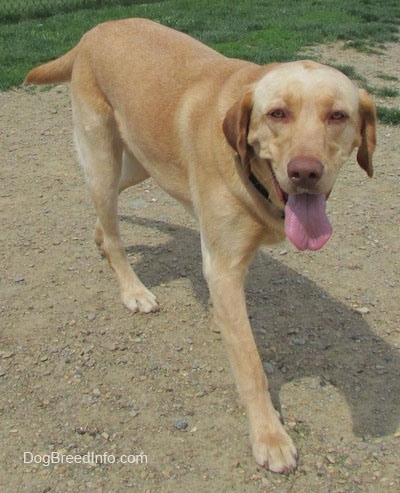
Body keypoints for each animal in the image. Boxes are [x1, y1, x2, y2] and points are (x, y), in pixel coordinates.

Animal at [25, 18, 376, 472]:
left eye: (338, 115)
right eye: (277, 113)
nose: (305, 172)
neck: (254, 174)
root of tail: (96, 29)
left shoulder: (230, 259)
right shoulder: (223, 263)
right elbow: (250, 364)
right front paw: (269, 435)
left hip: (142, 164)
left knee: (108, 217)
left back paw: (101, 238)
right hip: (102, 157)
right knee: (114, 231)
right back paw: (132, 289)